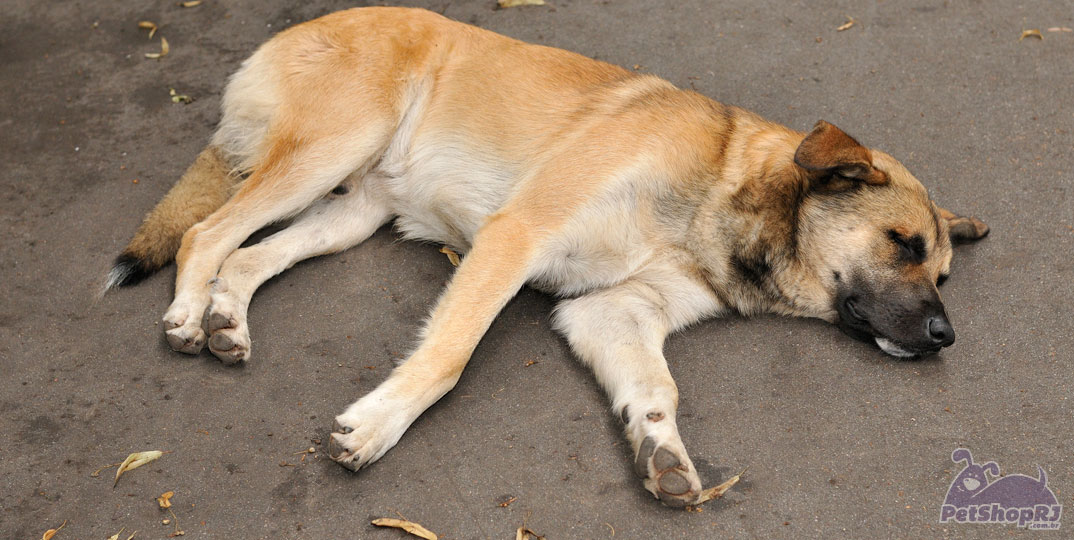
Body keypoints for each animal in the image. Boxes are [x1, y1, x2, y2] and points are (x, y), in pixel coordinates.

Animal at [104, 7, 983, 506]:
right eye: (901, 244)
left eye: (940, 273)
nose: (946, 339)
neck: (723, 187)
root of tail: (295, 30)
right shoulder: (516, 236)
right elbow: (448, 357)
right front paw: (379, 426)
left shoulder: (610, 311)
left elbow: (655, 387)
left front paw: (662, 450)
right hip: (332, 147)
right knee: (206, 233)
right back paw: (187, 312)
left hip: (350, 212)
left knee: (248, 257)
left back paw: (226, 317)